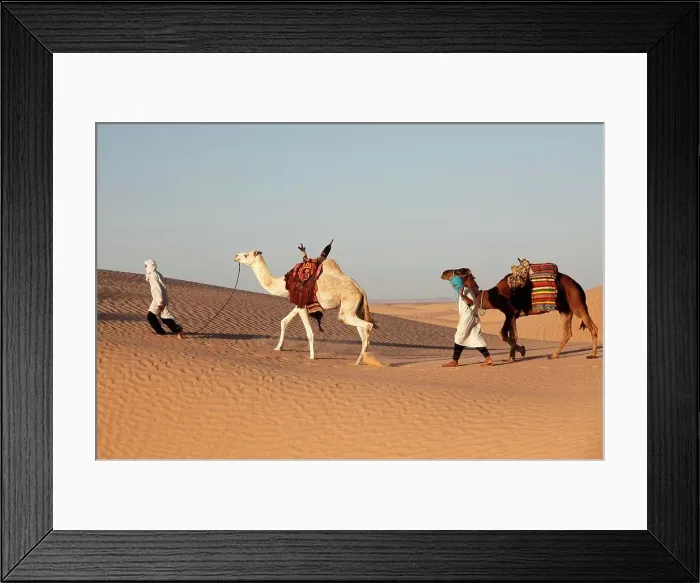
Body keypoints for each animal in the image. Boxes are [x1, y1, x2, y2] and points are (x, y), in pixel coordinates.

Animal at [234, 250, 378, 365]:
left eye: (246, 255)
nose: (236, 256)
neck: (285, 284)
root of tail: (361, 291)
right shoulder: (299, 304)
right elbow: (284, 321)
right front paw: (278, 347)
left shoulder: (302, 306)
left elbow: (309, 333)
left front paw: (312, 356)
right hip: (357, 310)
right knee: (363, 333)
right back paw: (363, 358)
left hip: (347, 309)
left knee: (367, 326)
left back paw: (358, 361)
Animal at [441, 267, 599, 361]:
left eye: (459, 271)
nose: (444, 273)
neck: (495, 295)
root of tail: (578, 285)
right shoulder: (510, 314)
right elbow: (506, 335)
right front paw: (511, 358)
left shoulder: (511, 313)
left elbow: (509, 336)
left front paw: (521, 352)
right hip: (565, 310)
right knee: (567, 333)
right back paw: (553, 355)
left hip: (577, 305)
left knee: (593, 328)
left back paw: (592, 355)